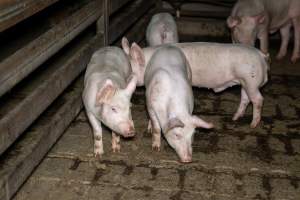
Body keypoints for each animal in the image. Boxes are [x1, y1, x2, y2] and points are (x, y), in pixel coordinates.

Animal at [122, 37, 270, 128]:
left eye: (130, 73)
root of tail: (261, 55)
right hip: (244, 81)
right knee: (245, 98)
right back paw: (235, 118)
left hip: (251, 80)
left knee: (258, 99)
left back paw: (252, 125)